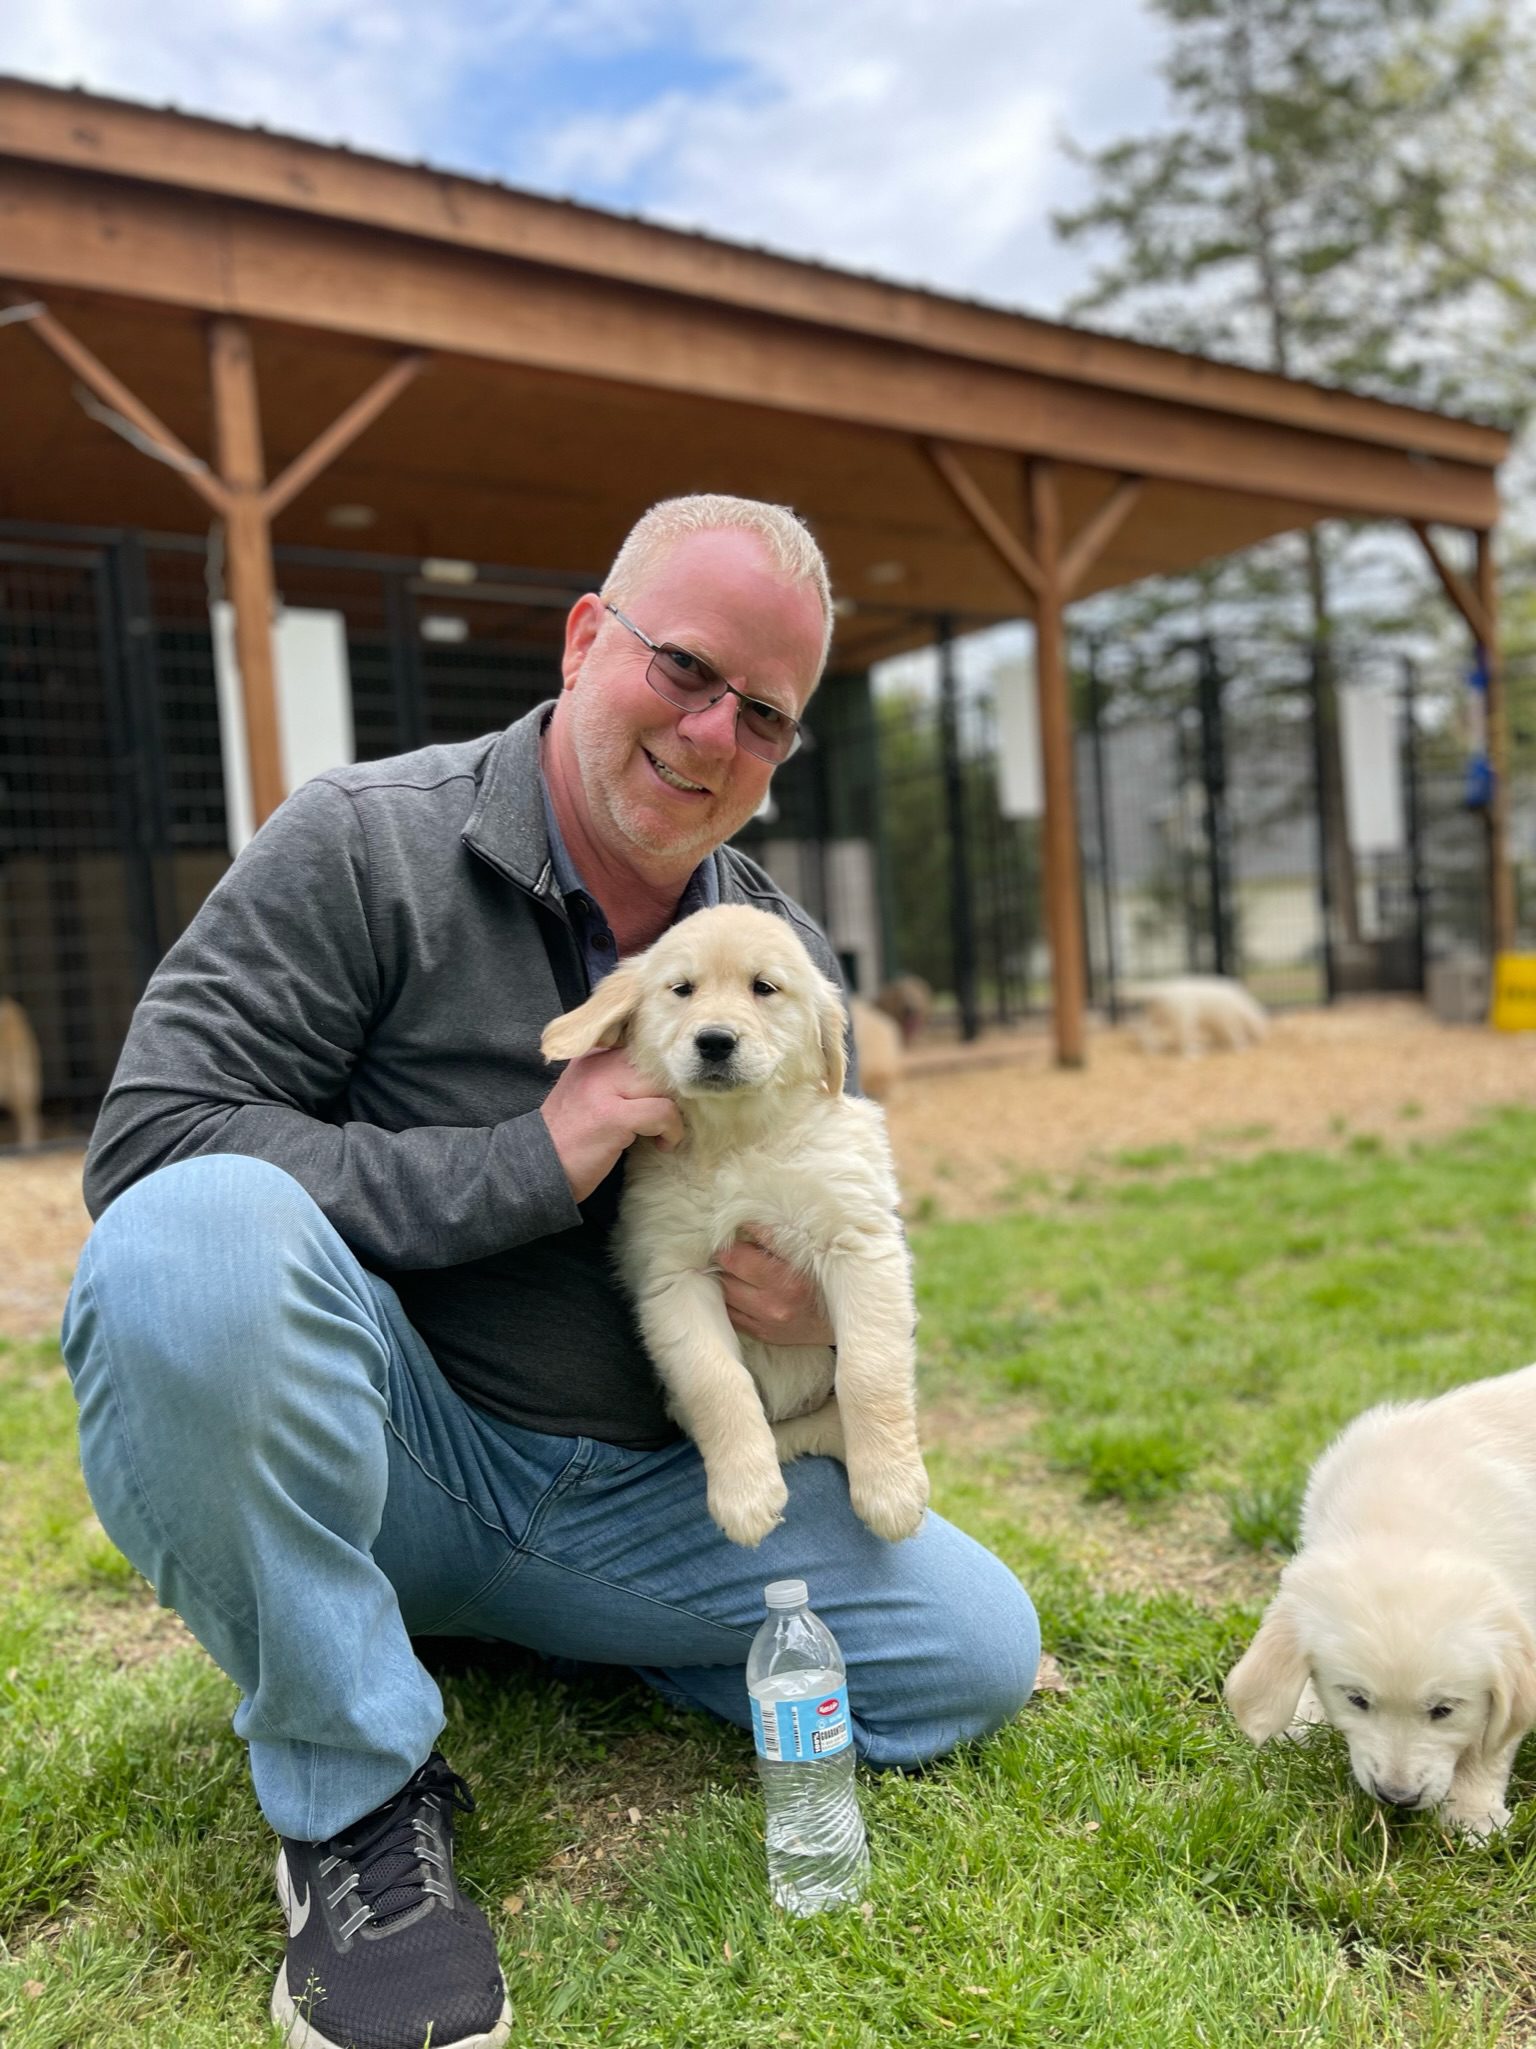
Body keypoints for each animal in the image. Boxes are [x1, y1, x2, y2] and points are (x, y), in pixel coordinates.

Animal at [540, 905, 925, 1540]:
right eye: (682, 989)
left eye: (763, 988)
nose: (715, 1041)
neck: (738, 1140)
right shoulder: (675, 1275)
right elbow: (716, 1380)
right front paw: (745, 1494)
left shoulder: (857, 1240)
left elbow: (869, 1368)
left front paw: (891, 1489)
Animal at [1236, 1360, 1536, 1844]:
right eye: (1357, 1700)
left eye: (1444, 1710)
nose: (1397, 1797)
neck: (1403, 1522)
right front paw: (1301, 1714)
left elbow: (1489, 1739)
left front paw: (1473, 1812)